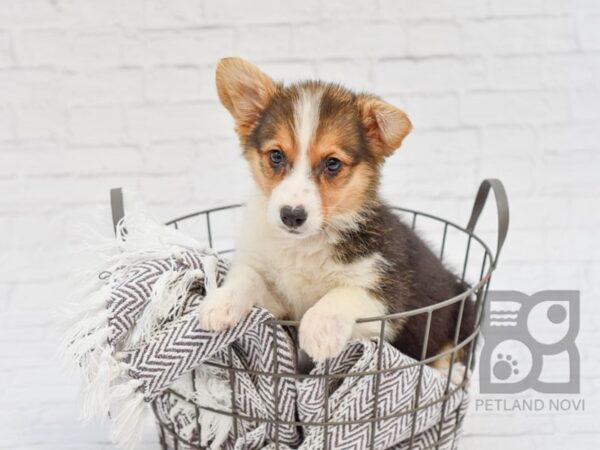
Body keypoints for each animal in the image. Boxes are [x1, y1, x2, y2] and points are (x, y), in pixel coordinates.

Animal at [199, 57, 476, 380]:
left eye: (332, 163)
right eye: (276, 156)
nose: (291, 216)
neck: (305, 245)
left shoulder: (387, 295)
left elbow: (343, 294)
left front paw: (318, 332)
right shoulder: (279, 303)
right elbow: (247, 278)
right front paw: (219, 303)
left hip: (462, 312)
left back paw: (452, 373)